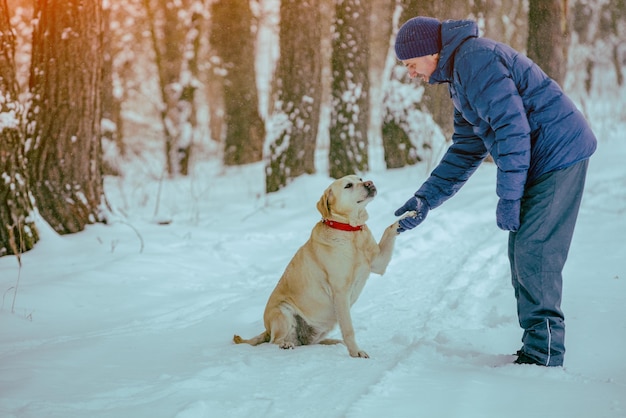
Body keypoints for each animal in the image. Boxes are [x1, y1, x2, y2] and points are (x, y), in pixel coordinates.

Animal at [234, 175, 400, 358]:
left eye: (360, 178)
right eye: (348, 185)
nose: (369, 182)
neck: (351, 231)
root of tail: (267, 329)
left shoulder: (379, 264)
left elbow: (389, 228)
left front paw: (407, 216)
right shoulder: (340, 293)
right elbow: (348, 329)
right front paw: (356, 352)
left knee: (308, 343)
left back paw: (332, 342)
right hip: (283, 313)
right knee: (274, 341)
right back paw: (286, 344)